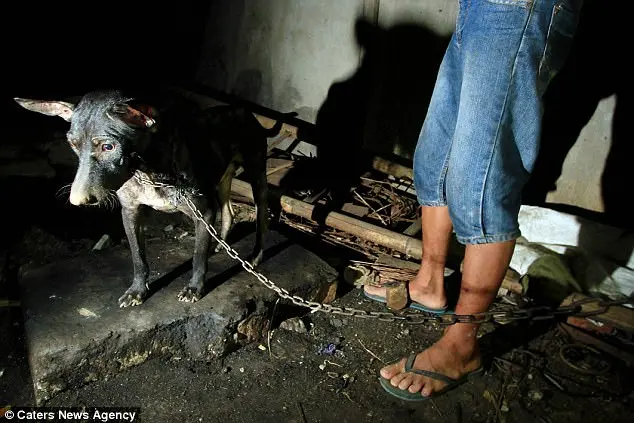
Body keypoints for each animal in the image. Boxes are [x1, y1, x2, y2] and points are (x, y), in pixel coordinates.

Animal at [15, 89, 291, 307]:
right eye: (73, 145)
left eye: (108, 147)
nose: (78, 201)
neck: (149, 171)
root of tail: (242, 109)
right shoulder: (130, 213)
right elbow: (138, 258)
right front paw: (138, 291)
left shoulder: (202, 212)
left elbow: (197, 258)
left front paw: (195, 288)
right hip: (222, 178)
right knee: (229, 212)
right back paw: (219, 243)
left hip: (257, 177)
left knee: (262, 216)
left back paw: (255, 255)